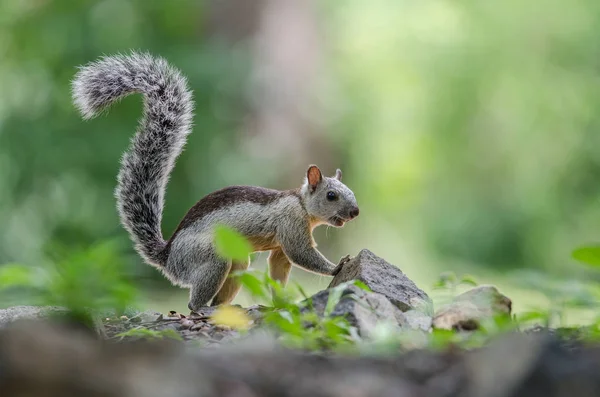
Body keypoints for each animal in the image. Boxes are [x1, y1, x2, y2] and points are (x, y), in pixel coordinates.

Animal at [70, 51, 360, 310]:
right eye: (331, 195)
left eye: (351, 191)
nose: (355, 212)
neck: (301, 204)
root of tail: (169, 258)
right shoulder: (290, 225)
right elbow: (302, 255)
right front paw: (337, 266)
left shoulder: (281, 246)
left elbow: (278, 270)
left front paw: (280, 301)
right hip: (212, 258)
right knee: (192, 303)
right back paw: (204, 309)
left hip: (237, 263)